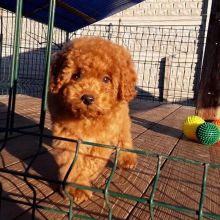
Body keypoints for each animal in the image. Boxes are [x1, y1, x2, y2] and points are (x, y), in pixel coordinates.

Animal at [48, 37, 138, 204]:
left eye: (106, 79)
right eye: (76, 76)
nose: (88, 98)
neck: (88, 117)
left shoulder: (103, 138)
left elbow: (92, 161)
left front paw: (84, 180)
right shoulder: (67, 135)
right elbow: (73, 161)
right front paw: (76, 187)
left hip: (122, 120)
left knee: (124, 137)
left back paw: (127, 158)